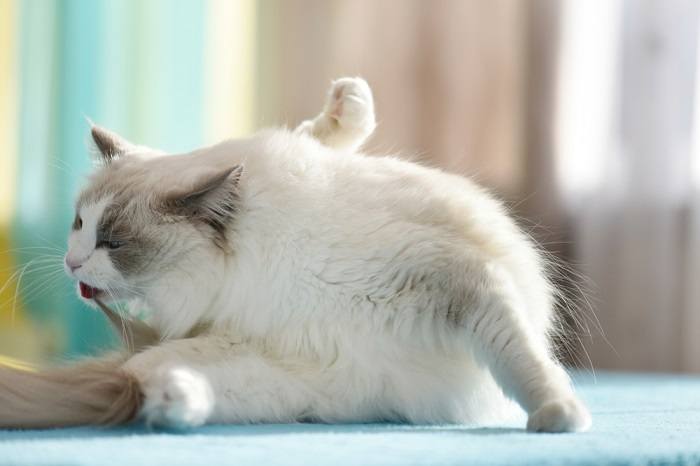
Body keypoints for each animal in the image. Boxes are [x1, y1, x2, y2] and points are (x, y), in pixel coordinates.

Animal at [0, 77, 592, 434]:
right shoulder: (296, 366)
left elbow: (523, 362)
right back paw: (170, 402)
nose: (71, 262)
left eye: (114, 241)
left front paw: (558, 414)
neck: (265, 270)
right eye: (80, 224)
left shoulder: (458, 283)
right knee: (166, 384)